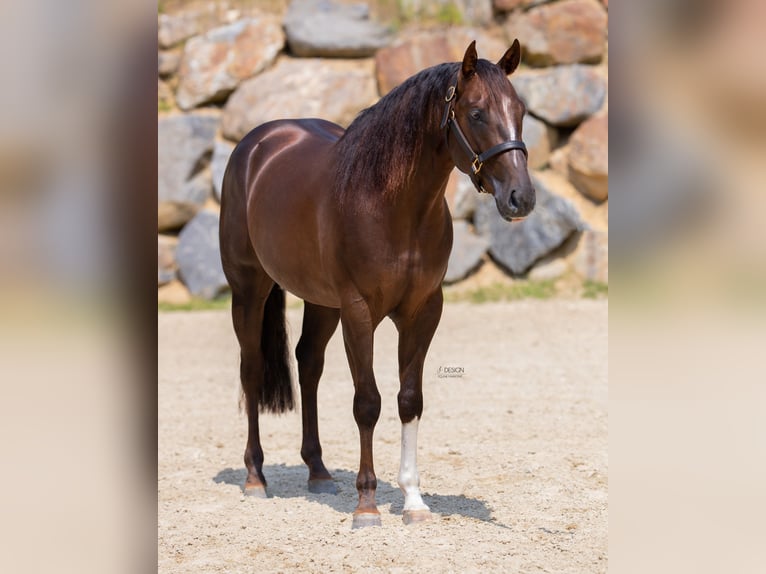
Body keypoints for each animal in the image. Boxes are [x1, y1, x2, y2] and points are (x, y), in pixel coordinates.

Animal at [219, 40, 536, 532]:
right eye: (477, 112)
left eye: (520, 110)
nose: (521, 198)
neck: (391, 204)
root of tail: (255, 146)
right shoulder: (358, 310)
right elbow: (367, 402)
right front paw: (366, 504)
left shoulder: (423, 310)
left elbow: (409, 399)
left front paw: (414, 500)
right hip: (249, 288)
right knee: (251, 369)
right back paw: (256, 476)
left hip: (320, 302)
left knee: (309, 365)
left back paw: (318, 471)